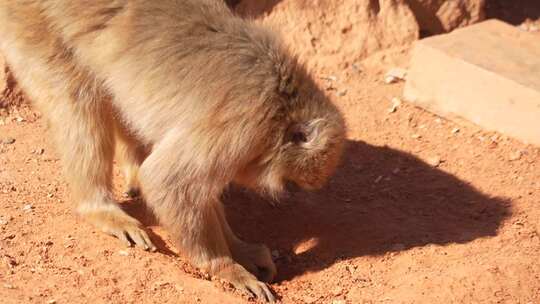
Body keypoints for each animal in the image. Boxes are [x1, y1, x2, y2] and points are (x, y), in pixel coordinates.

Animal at [0, 0, 346, 302]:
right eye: (291, 180)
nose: (285, 191)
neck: (284, 106)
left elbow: (196, 191)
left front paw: (242, 251)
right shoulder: (243, 129)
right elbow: (168, 182)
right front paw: (226, 268)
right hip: (33, 25)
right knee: (78, 100)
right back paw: (99, 208)